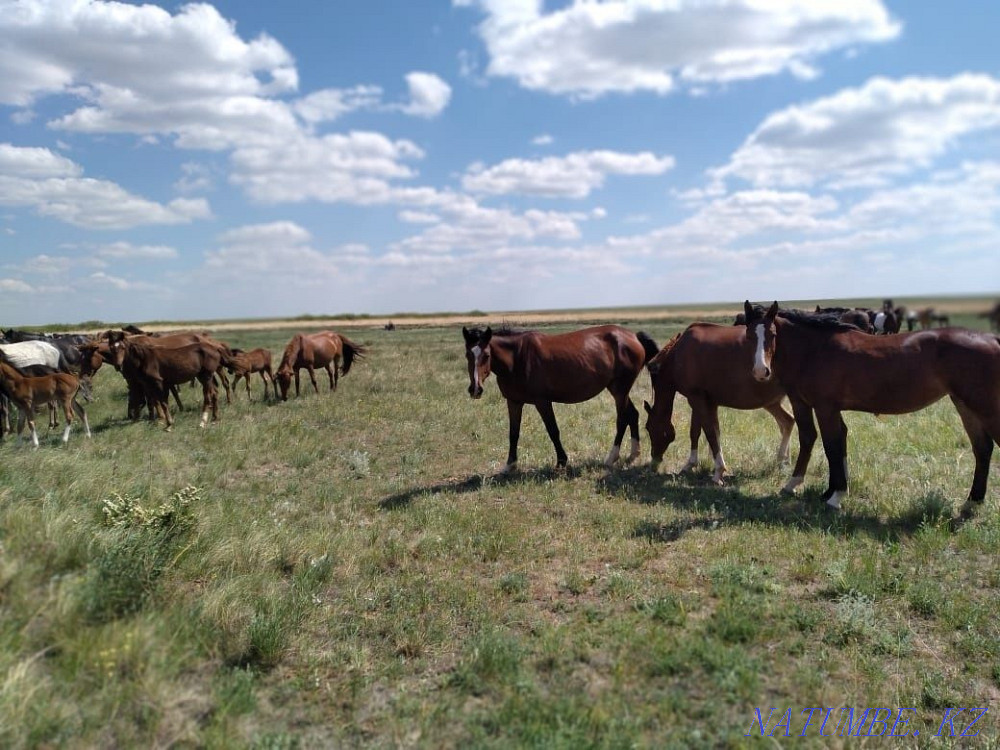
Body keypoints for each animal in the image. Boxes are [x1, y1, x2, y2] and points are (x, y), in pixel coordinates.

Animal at [458, 326, 656, 472]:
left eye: (486, 355)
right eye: (468, 355)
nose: (475, 389)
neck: (517, 358)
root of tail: (634, 336)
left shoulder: (542, 402)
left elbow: (553, 430)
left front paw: (562, 461)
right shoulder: (513, 402)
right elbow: (513, 433)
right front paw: (509, 465)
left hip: (619, 390)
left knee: (622, 419)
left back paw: (611, 458)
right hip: (618, 390)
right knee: (633, 414)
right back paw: (633, 455)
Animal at [640, 326, 796, 484]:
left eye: (648, 428)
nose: (654, 462)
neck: (677, 354)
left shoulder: (696, 399)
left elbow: (710, 433)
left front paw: (718, 471)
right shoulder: (705, 402)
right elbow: (700, 432)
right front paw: (691, 464)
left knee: (787, 423)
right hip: (772, 403)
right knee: (787, 422)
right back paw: (783, 462)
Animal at [744, 302, 1000, 520]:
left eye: (772, 334)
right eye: (748, 335)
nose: (760, 371)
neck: (815, 350)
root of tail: (992, 339)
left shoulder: (820, 407)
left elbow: (825, 444)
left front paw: (825, 493)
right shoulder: (824, 407)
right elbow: (838, 444)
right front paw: (830, 491)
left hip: (985, 409)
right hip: (965, 406)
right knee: (982, 450)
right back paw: (971, 504)